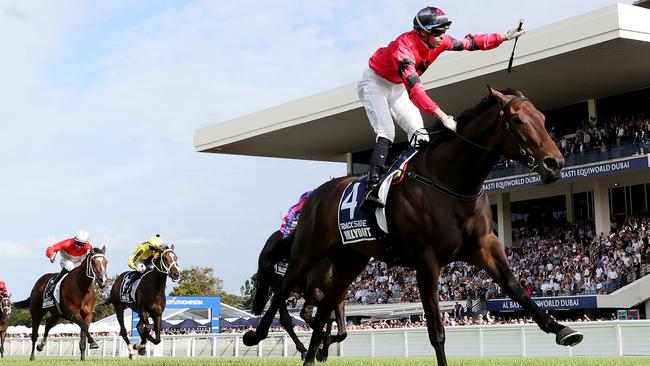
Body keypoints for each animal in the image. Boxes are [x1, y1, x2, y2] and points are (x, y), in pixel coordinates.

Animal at [248, 230, 364, 362]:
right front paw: (322, 346)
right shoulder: (315, 290)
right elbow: (329, 317)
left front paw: (323, 350)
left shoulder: (339, 295)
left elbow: (341, 333)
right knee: (286, 318)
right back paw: (303, 349)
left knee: (304, 313)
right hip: (278, 284)